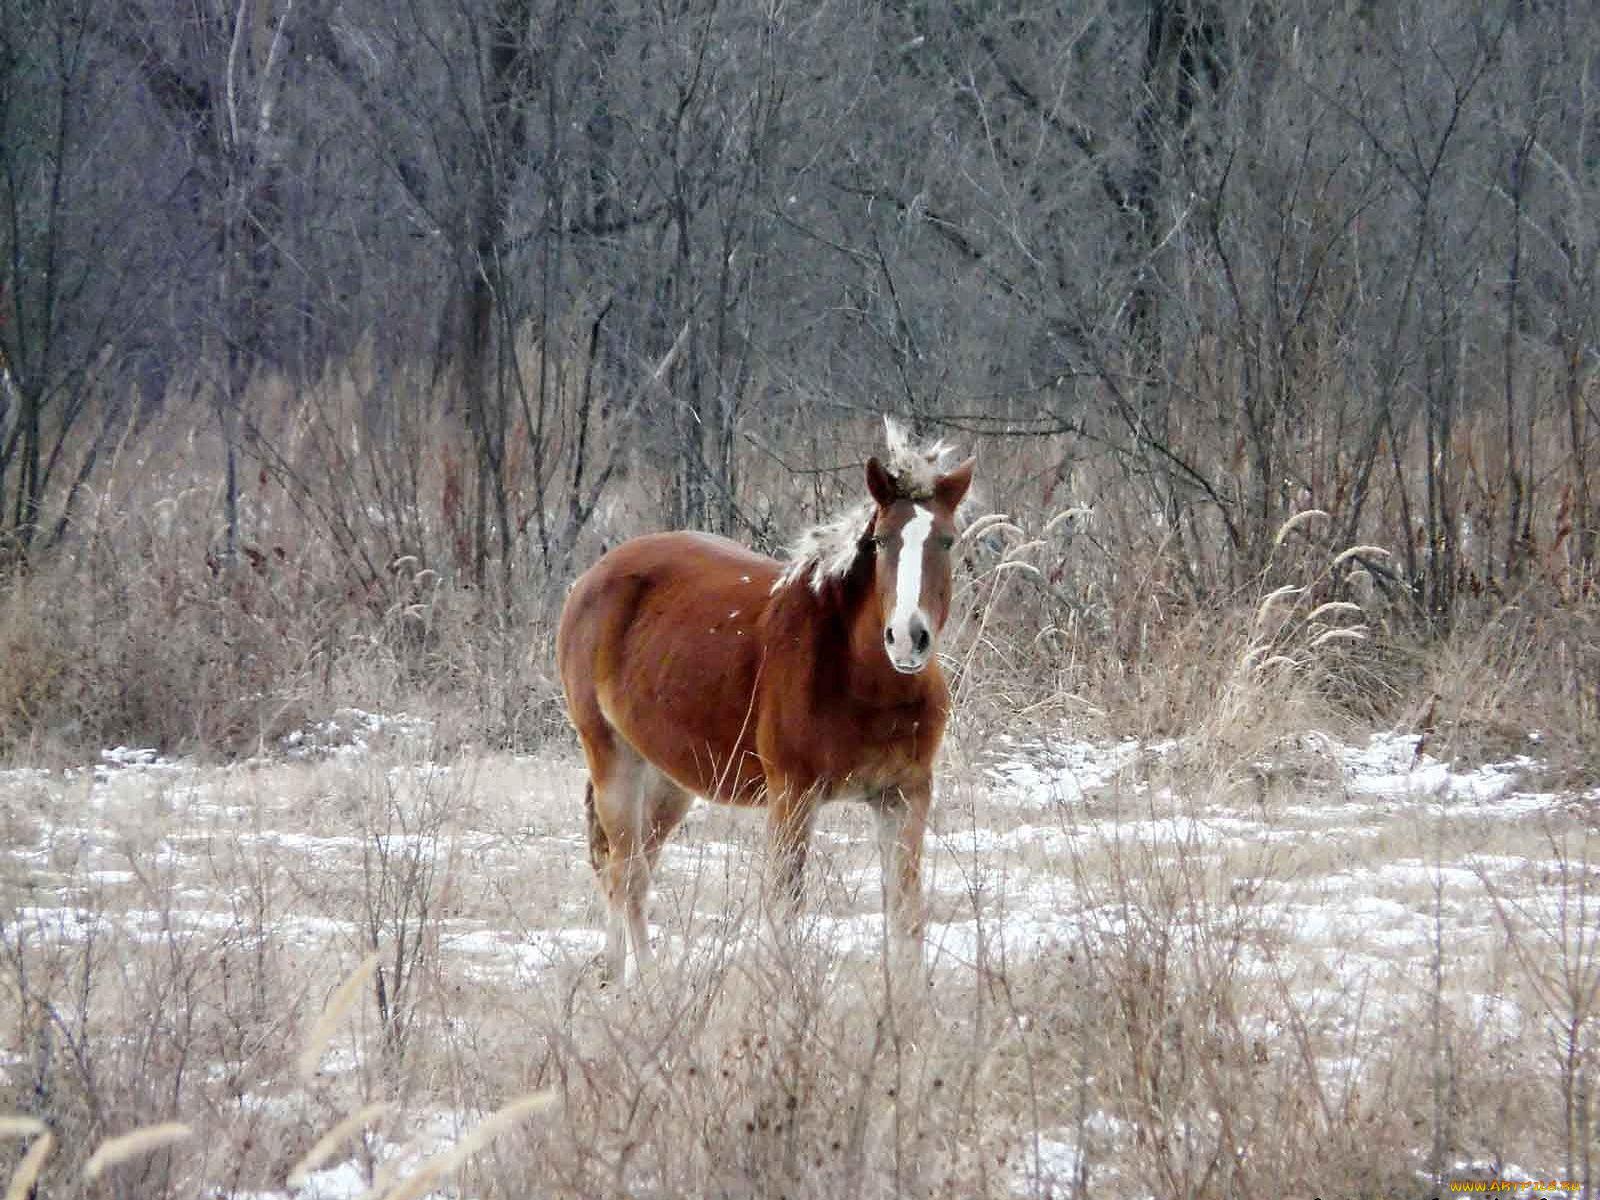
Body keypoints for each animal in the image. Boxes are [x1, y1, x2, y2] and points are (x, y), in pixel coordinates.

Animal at [550, 419, 972, 979]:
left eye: (946, 541)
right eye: (881, 541)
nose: (907, 638)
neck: (864, 681)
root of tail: (589, 580)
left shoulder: (905, 795)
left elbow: (906, 915)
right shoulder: (793, 795)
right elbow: (785, 909)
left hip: (668, 776)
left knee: (632, 867)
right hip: (613, 758)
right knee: (626, 874)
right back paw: (641, 987)